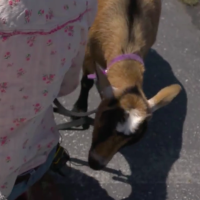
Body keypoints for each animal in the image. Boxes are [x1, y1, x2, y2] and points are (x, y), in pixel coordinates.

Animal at [72, 0, 182, 170]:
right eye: (103, 122)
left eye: (131, 140)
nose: (96, 163)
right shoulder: (90, 50)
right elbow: (86, 82)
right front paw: (80, 109)